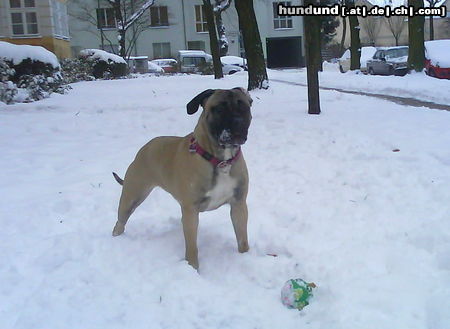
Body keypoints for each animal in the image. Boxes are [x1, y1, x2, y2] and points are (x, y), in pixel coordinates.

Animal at [112, 87, 253, 270]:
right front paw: (192, 268)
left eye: (243, 107)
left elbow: (242, 239)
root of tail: (144, 148)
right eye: (219, 109)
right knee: (120, 222)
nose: (237, 121)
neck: (220, 160)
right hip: (131, 197)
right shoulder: (191, 212)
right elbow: (192, 247)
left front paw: (245, 257)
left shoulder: (239, 205)